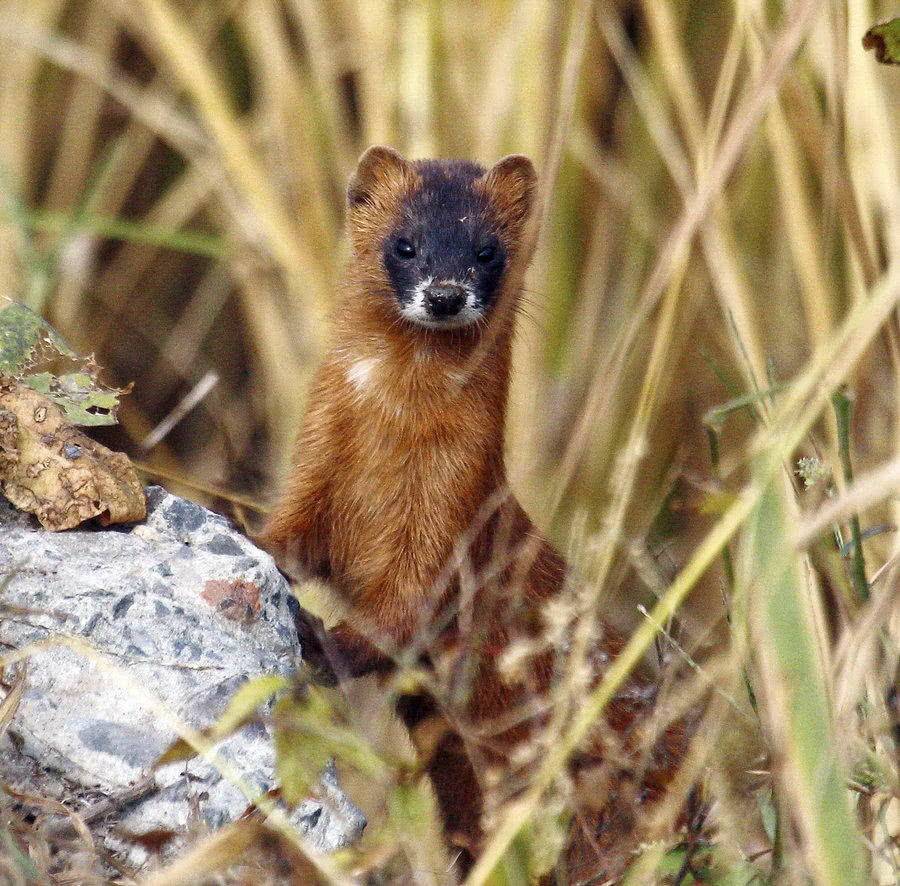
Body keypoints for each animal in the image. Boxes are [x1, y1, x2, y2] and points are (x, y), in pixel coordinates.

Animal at [262, 147, 688, 880]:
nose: (444, 294)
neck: (389, 446)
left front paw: (325, 640)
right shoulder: (315, 467)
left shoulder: (452, 513)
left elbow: (406, 612)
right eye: (404, 244)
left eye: (488, 249)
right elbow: (289, 538)